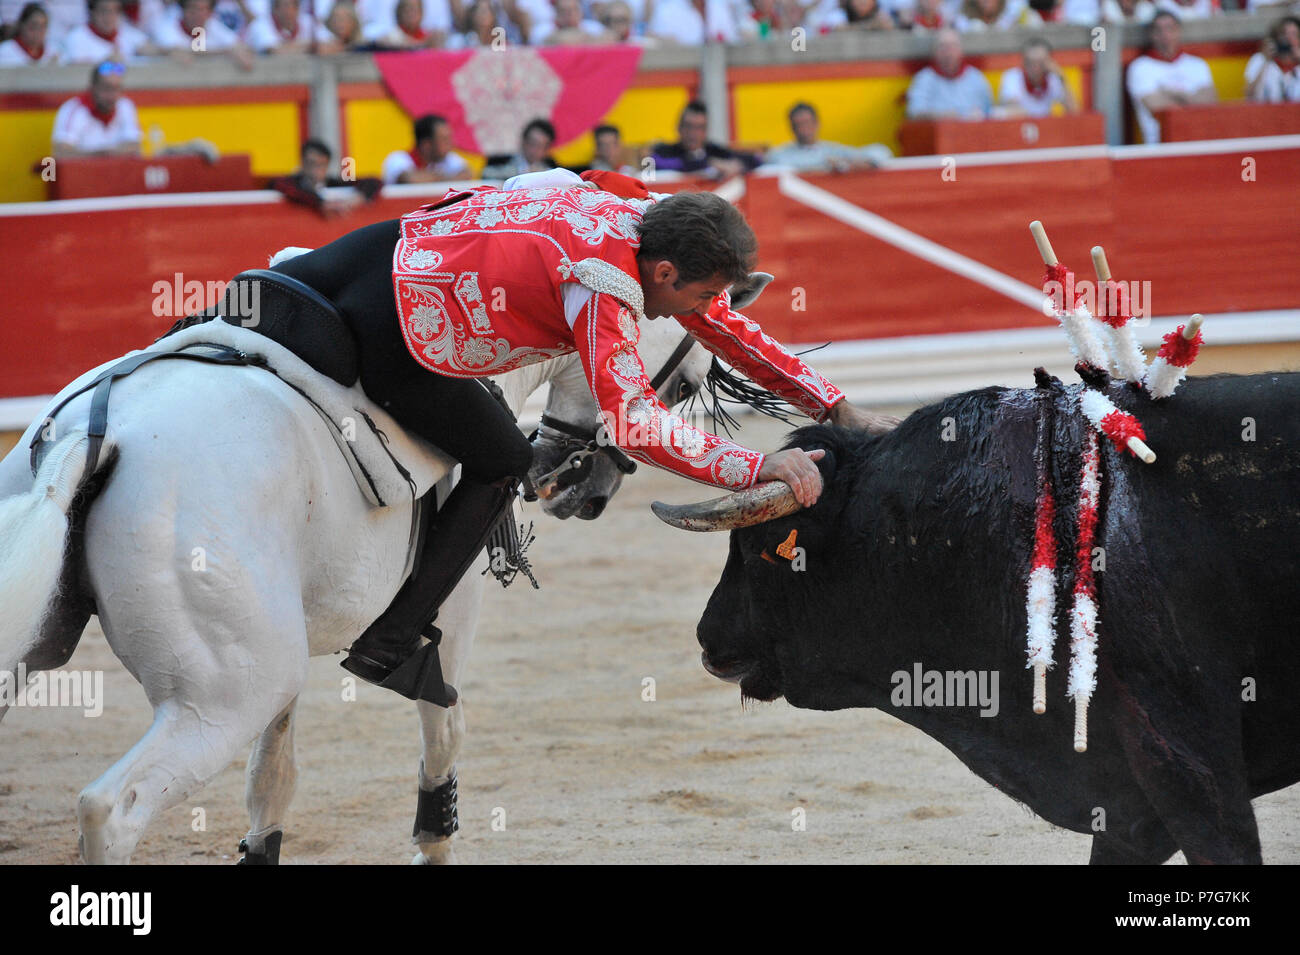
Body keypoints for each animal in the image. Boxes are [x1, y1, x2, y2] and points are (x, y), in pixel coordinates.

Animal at [0, 307, 712, 867]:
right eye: (682, 385)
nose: (590, 495)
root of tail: (97, 437)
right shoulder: (452, 611)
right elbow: (444, 726)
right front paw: (434, 842)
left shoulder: (284, 656)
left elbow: (271, 780)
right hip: (220, 698)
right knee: (110, 810)